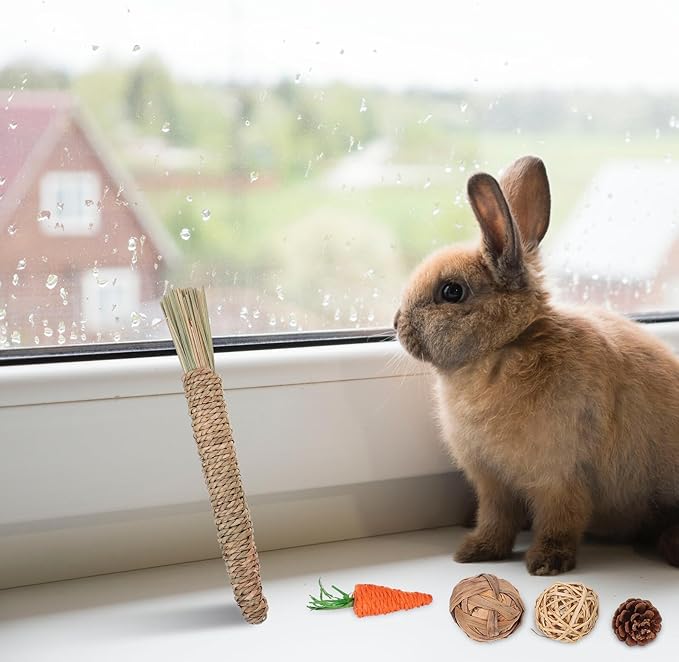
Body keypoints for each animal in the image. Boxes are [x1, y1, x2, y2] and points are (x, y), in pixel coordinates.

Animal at [394, 155, 679, 575]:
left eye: (452, 291)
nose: (396, 323)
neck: (505, 346)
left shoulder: (559, 477)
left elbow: (561, 521)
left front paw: (546, 563)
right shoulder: (493, 483)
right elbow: (496, 519)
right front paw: (475, 552)